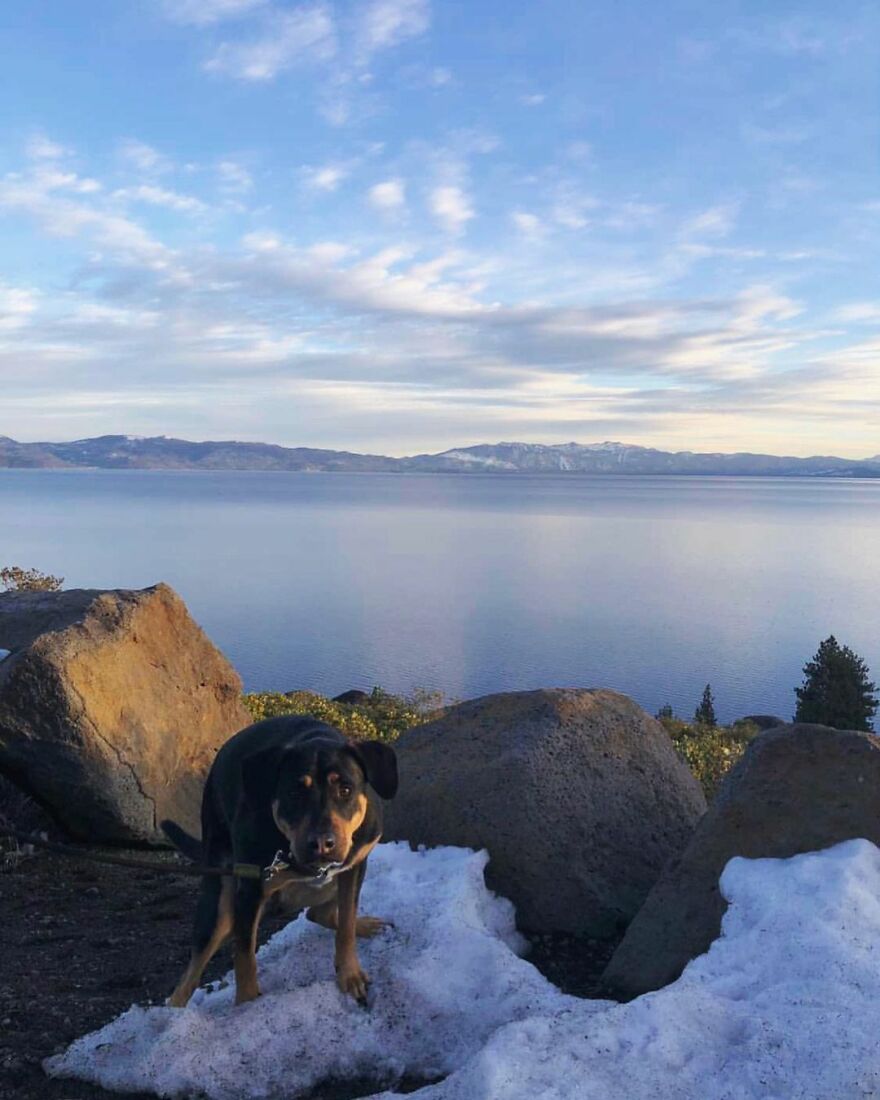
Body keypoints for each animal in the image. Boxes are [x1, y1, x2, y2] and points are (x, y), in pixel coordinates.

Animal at [161, 712, 398, 1007]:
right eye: (294, 793)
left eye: (345, 789)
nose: (322, 843)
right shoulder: (250, 889)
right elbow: (244, 958)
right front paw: (248, 1006)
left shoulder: (354, 866)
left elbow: (346, 924)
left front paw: (350, 974)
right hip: (219, 899)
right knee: (189, 977)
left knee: (318, 912)